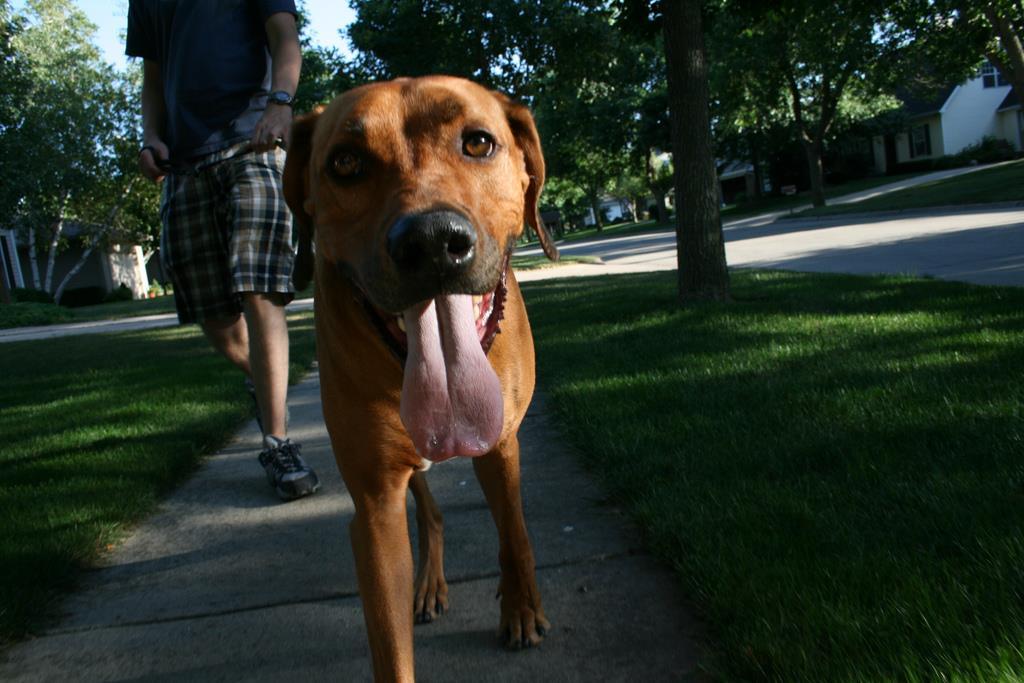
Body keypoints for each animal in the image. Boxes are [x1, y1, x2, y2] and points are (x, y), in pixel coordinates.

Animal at [284, 77, 561, 679]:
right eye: (345, 162)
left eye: (478, 142)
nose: (432, 240)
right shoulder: (374, 505)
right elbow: (391, 647)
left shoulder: (501, 442)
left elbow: (514, 532)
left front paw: (522, 607)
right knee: (428, 508)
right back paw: (430, 582)